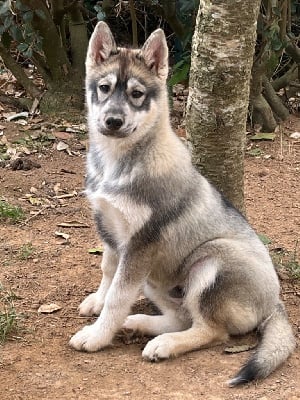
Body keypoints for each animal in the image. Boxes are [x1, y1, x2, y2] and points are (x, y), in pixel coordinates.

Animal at [69, 20, 296, 386]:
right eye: (103, 88)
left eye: (136, 94)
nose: (113, 121)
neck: (120, 162)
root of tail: (274, 303)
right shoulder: (111, 230)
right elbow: (108, 271)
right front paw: (98, 304)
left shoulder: (141, 244)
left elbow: (119, 295)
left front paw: (97, 335)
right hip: (156, 278)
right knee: (181, 316)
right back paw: (141, 325)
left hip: (211, 262)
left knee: (211, 330)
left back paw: (164, 343)